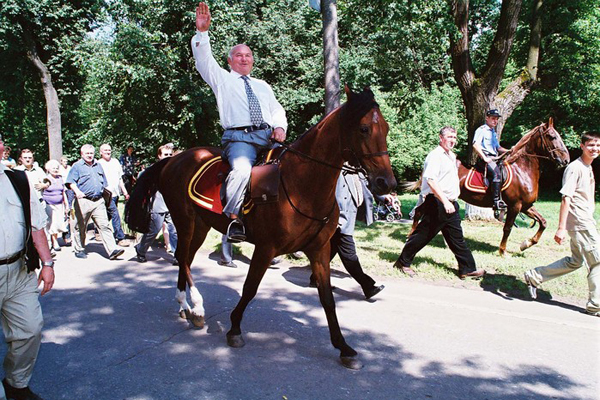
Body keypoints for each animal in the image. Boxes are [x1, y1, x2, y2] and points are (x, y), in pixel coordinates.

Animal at [126, 87, 396, 368]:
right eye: (364, 128)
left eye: (385, 128)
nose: (386, 183)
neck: (301, 185)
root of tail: (174, 159)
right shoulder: (266, 248)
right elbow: (250, 288)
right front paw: (234, 328)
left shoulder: (319, 249)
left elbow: (327, 299)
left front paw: (344, 347)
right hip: (185, 219)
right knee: (182, 258)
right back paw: (197, 306)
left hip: (200, 225)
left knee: (185, 258)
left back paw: (186, 307)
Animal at [408, 119, 568, 256]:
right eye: (552, 137)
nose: (566, 159)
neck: (521, 170)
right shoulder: (515, 206)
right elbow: (508, 228)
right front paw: (502, 251)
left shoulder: (526, 206)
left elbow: (543, 222)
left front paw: (526, 244)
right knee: (419, 211)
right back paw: (411, 235)